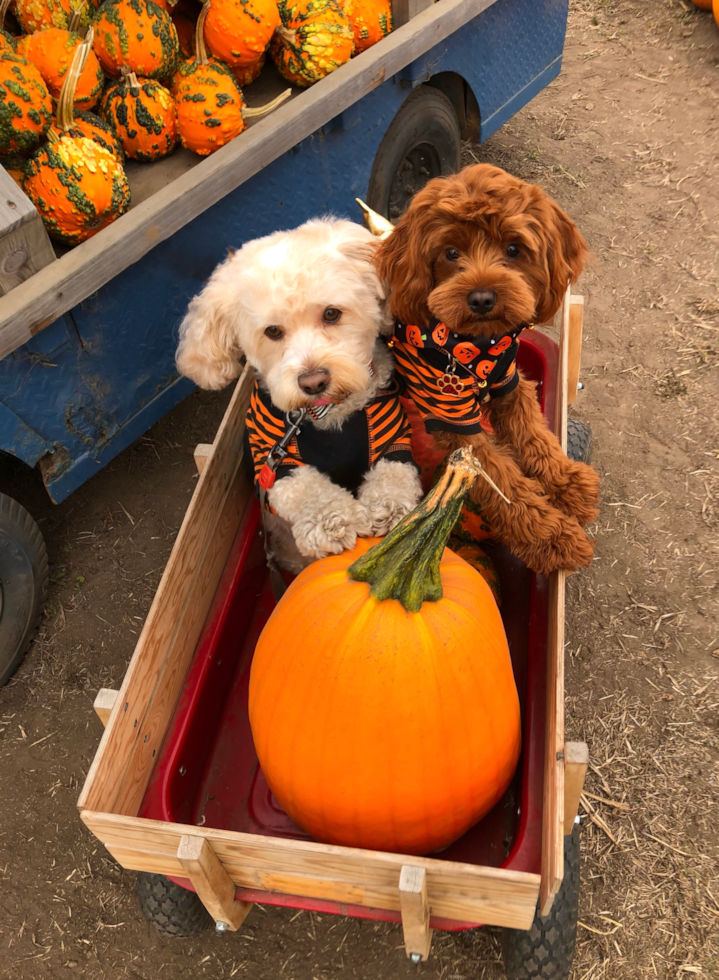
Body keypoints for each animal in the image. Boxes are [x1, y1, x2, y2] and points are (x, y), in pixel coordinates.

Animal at [176, 218, 422, 572]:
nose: (313, 381)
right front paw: (333, 520)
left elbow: (394, 475)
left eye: (331, 313)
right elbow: (306, 488)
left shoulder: (391, 438)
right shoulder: (275, 459)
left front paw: (388, 510)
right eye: (272, 331)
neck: (326, 413)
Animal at [376, 161, 600, 576]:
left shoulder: (509, 383)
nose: (481, 298)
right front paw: (554, 539)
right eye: (450, 252)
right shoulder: (456, 424)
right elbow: (506, 486)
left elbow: (536, 437)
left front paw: (567, 483)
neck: (476, 345)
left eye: (513, 249)